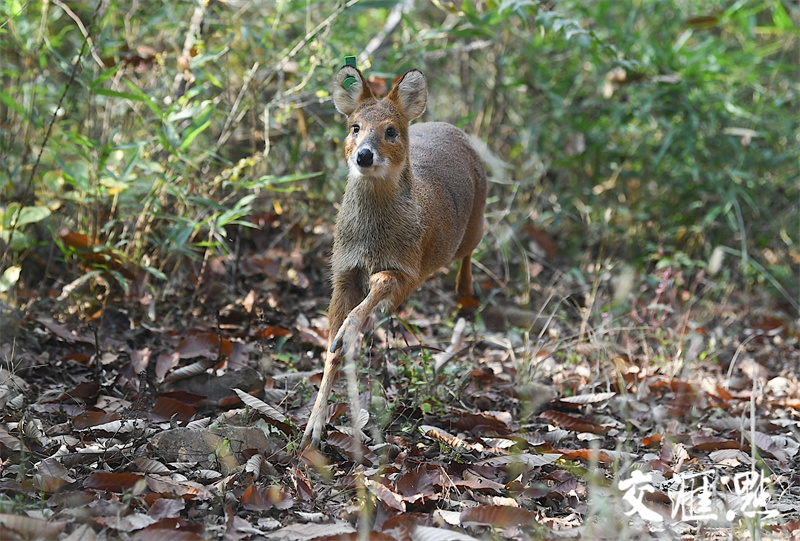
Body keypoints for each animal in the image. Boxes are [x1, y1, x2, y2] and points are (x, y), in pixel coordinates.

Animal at [300, 63, 488, 450]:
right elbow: (331, 350)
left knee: (475, 246)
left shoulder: (406, 269)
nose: (364, 155)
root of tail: (457, 130)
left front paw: (349, 333)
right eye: (354, 127)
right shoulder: (343, 270)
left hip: (474, 223)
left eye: (390, 131)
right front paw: (314, 427)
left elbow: (375, 292)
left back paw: (465, 297)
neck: (372, 239)